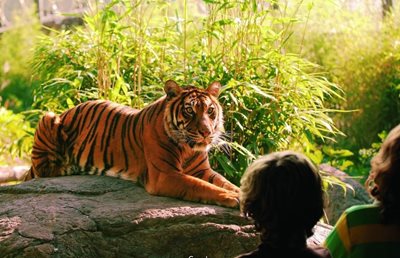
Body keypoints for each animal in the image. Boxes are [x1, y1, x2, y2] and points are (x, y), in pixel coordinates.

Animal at [27, 80, 241, 208]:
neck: (188, 149)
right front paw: (232, 197)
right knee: (42, 170)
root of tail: (68, 110)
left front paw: (239, 192)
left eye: (210, 110)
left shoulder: (203, 170)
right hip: (48, 117)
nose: (206, 132)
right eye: (189, 110)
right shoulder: (165, 175)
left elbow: (224, 182)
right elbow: (201, 186)